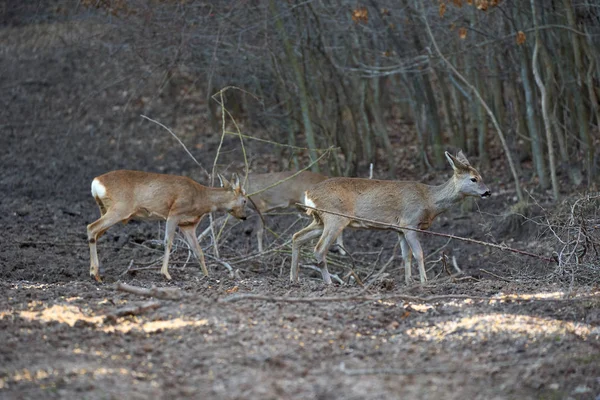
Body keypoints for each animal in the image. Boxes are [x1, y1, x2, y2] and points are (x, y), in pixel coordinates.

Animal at [85, 170, 247, 282]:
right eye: (245, 200)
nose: (244, 217)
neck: (200, 199)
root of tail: (96, 183)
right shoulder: (174, 213)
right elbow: (168, 242)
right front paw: (166, 274)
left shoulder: (188, 225)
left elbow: (198, 251)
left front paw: (207, 276)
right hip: (120, 208)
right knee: (91, 227)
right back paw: (94, 274)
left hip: (105, 209)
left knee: (95, 233)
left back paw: (96, 273)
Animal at [290, 150, 492, 284]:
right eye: (474, 178)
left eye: (481, 176)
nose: (488, 192)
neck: (428, 200)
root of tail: (308, 193)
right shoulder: (409, 222)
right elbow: (418, 254)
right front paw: (424, 282)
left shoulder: (399, 229)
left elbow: (405, 256)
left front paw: (409, 282)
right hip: (335, 217)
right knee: (319, 249)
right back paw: (329, 284)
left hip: (319, 219)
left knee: (297, 237)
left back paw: (294, 279)